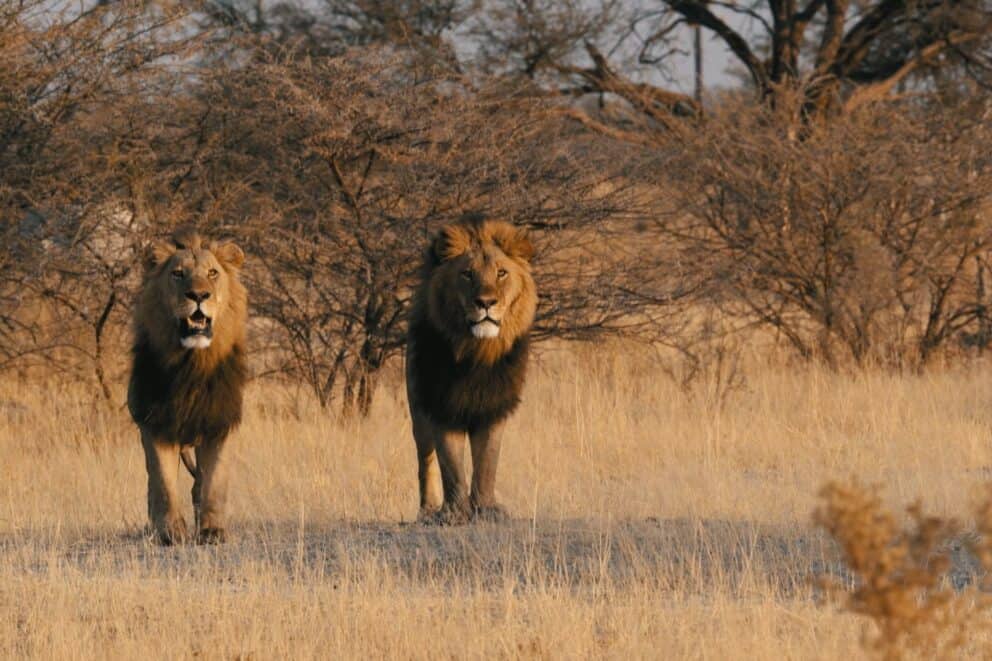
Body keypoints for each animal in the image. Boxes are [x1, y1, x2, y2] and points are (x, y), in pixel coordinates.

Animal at [127, 228, 247, 545]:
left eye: (213, 273)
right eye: (178, 273)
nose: (198, 295)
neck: (191, 365)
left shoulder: (220, 424)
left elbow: (214, 483)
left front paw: (213, 531)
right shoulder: (155, 424)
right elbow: (163, 485)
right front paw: (171, 533)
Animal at [405, 217, 537, 524]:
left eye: (501, 273)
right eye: (466, 274)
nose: (486, 302)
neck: (476, 353)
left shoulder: (493, 407)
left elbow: (487, 462)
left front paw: (486, 508)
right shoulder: (441, 406)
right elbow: (451, 465)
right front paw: (455, 512)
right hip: (417, 409)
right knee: (425, 460)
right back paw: (428, 510)